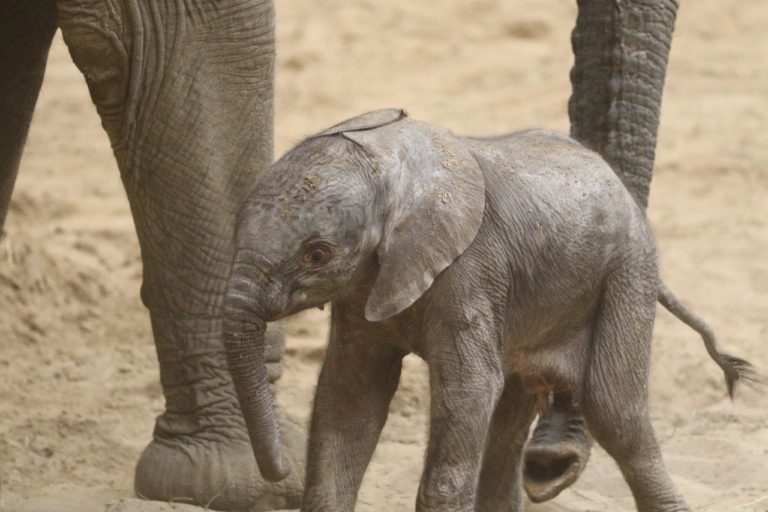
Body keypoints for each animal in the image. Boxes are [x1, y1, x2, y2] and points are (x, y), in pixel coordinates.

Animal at [222, 108, 756, 512]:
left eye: (317, 254)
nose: (276, 473)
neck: (392, 166)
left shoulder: (469, 271)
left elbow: (468, 389)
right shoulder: (361, 293)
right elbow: (350, 396)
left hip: (628, 272)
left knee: (613, 409)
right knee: (510, 420)